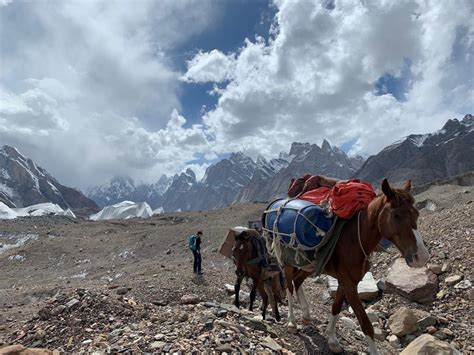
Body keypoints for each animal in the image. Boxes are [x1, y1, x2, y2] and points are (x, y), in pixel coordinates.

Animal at [270, 179, 430, 354]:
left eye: (417, 213)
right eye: (396, 215)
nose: (421, 257)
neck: (354, 240)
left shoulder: (345, 282)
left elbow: (335, 307)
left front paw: (332, 340)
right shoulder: (349, 285)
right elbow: (366, 325)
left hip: (308, 266)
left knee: (297, 281)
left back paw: (306, 315)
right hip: (287, 262)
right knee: (289, 287)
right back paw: (292, 322)